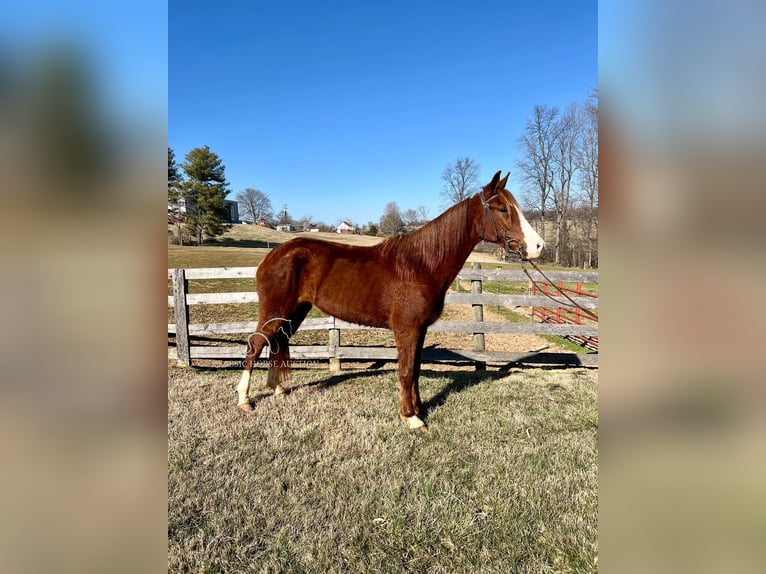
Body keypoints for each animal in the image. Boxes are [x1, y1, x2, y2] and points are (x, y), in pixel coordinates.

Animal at [237, 171, 544, 432]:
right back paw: (244, 400)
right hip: (275, 311)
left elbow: (416, 369)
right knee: (256, 345)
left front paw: (419, 409)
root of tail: (274, 254)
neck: (421, 265)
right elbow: (406, 372)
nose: (538, 246)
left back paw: (278, 389)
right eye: (502, 209)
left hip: (293, 312)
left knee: (275, 343)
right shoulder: (406, 329)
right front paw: (411, 418)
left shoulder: (420, 330)